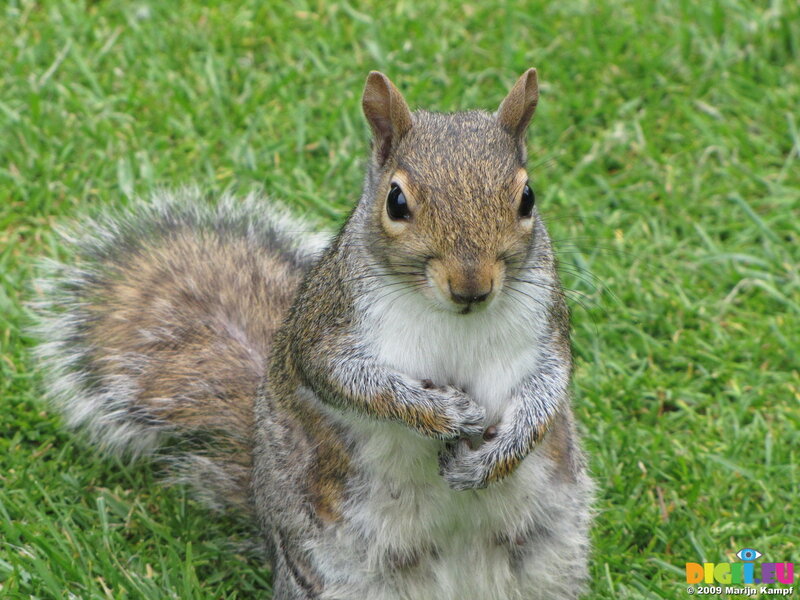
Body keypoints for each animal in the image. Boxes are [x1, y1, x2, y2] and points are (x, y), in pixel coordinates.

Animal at [32, 69, 593, 600]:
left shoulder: (546, 330)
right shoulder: (326, 330)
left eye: (527, 198)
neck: (455, 318)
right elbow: (356, 383)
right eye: (396, 201)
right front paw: (442, 413)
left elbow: (547, 390)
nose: (471, 287)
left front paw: (498, 455)